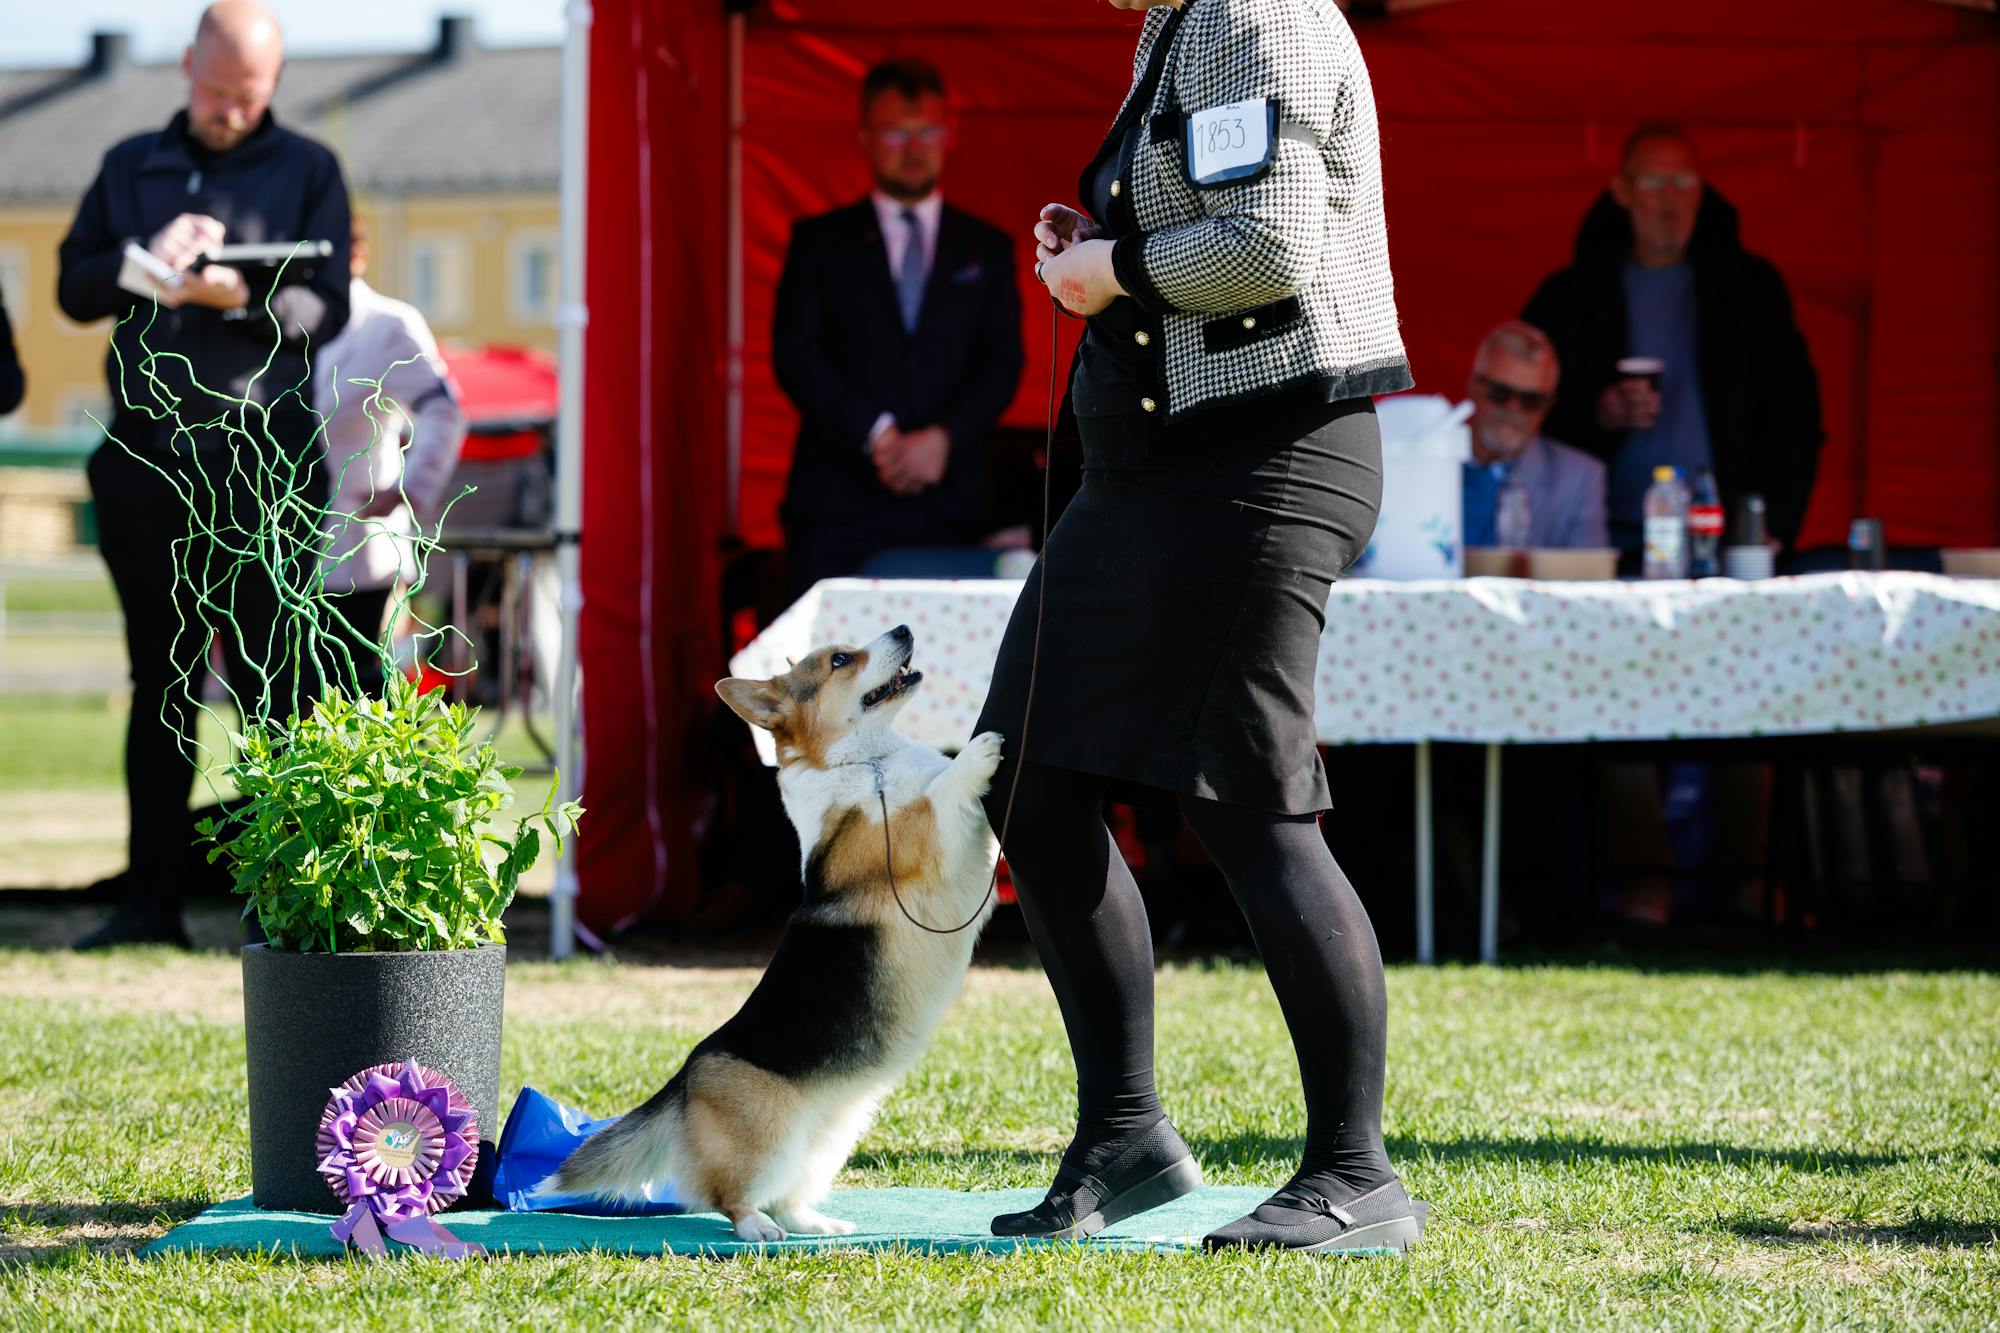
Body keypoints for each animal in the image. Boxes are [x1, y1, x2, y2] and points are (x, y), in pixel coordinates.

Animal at [540, 624, 1004, 1241]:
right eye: (839, 660)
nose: (904, 629)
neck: (869, 762)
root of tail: (685, 1078)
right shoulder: (917, 833)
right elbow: (944, 790)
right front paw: (978, 751)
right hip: (767, 1139)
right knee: (726, 1195)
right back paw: (756, 1228)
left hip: (828, 1138)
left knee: (788, 1193)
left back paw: (817, 1223)